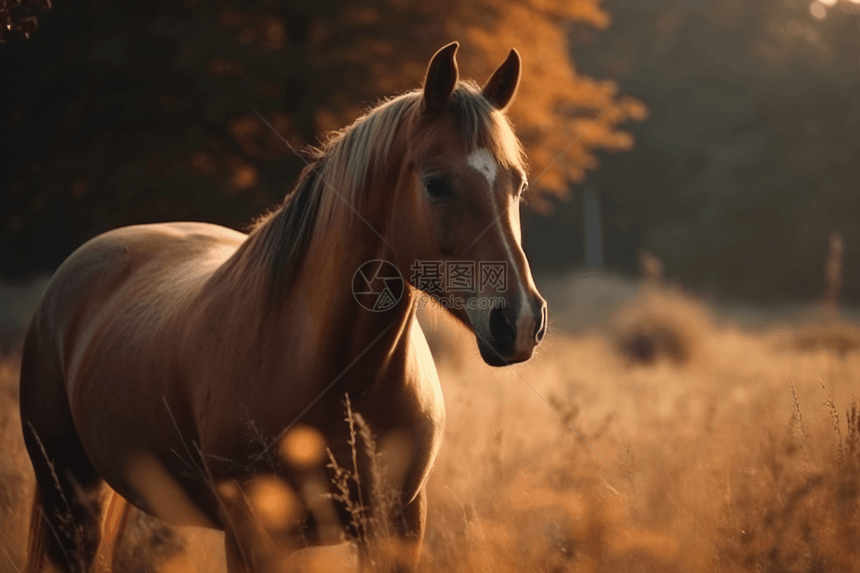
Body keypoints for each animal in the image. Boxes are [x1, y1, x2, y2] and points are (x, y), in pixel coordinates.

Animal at [20, 41, 548, 572]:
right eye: (437, 184)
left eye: (517, 184)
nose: (520, 320)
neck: (338, 375)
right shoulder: (257, 535)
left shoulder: (397, 526)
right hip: (71, 499)